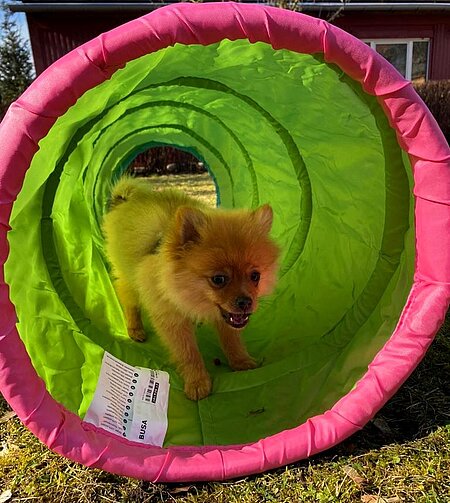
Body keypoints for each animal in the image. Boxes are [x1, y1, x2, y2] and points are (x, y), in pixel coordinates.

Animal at [103, 177, 278, 402]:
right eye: (218, 279)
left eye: (255, 276)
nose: (246, 302)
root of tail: (124, 200)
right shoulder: (171, 319)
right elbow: (189, 353)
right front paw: (197, 382)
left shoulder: (227, 317)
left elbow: (232, 339)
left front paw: (241, 361)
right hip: (130, 278)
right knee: (128, 299)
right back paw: (136, 329)